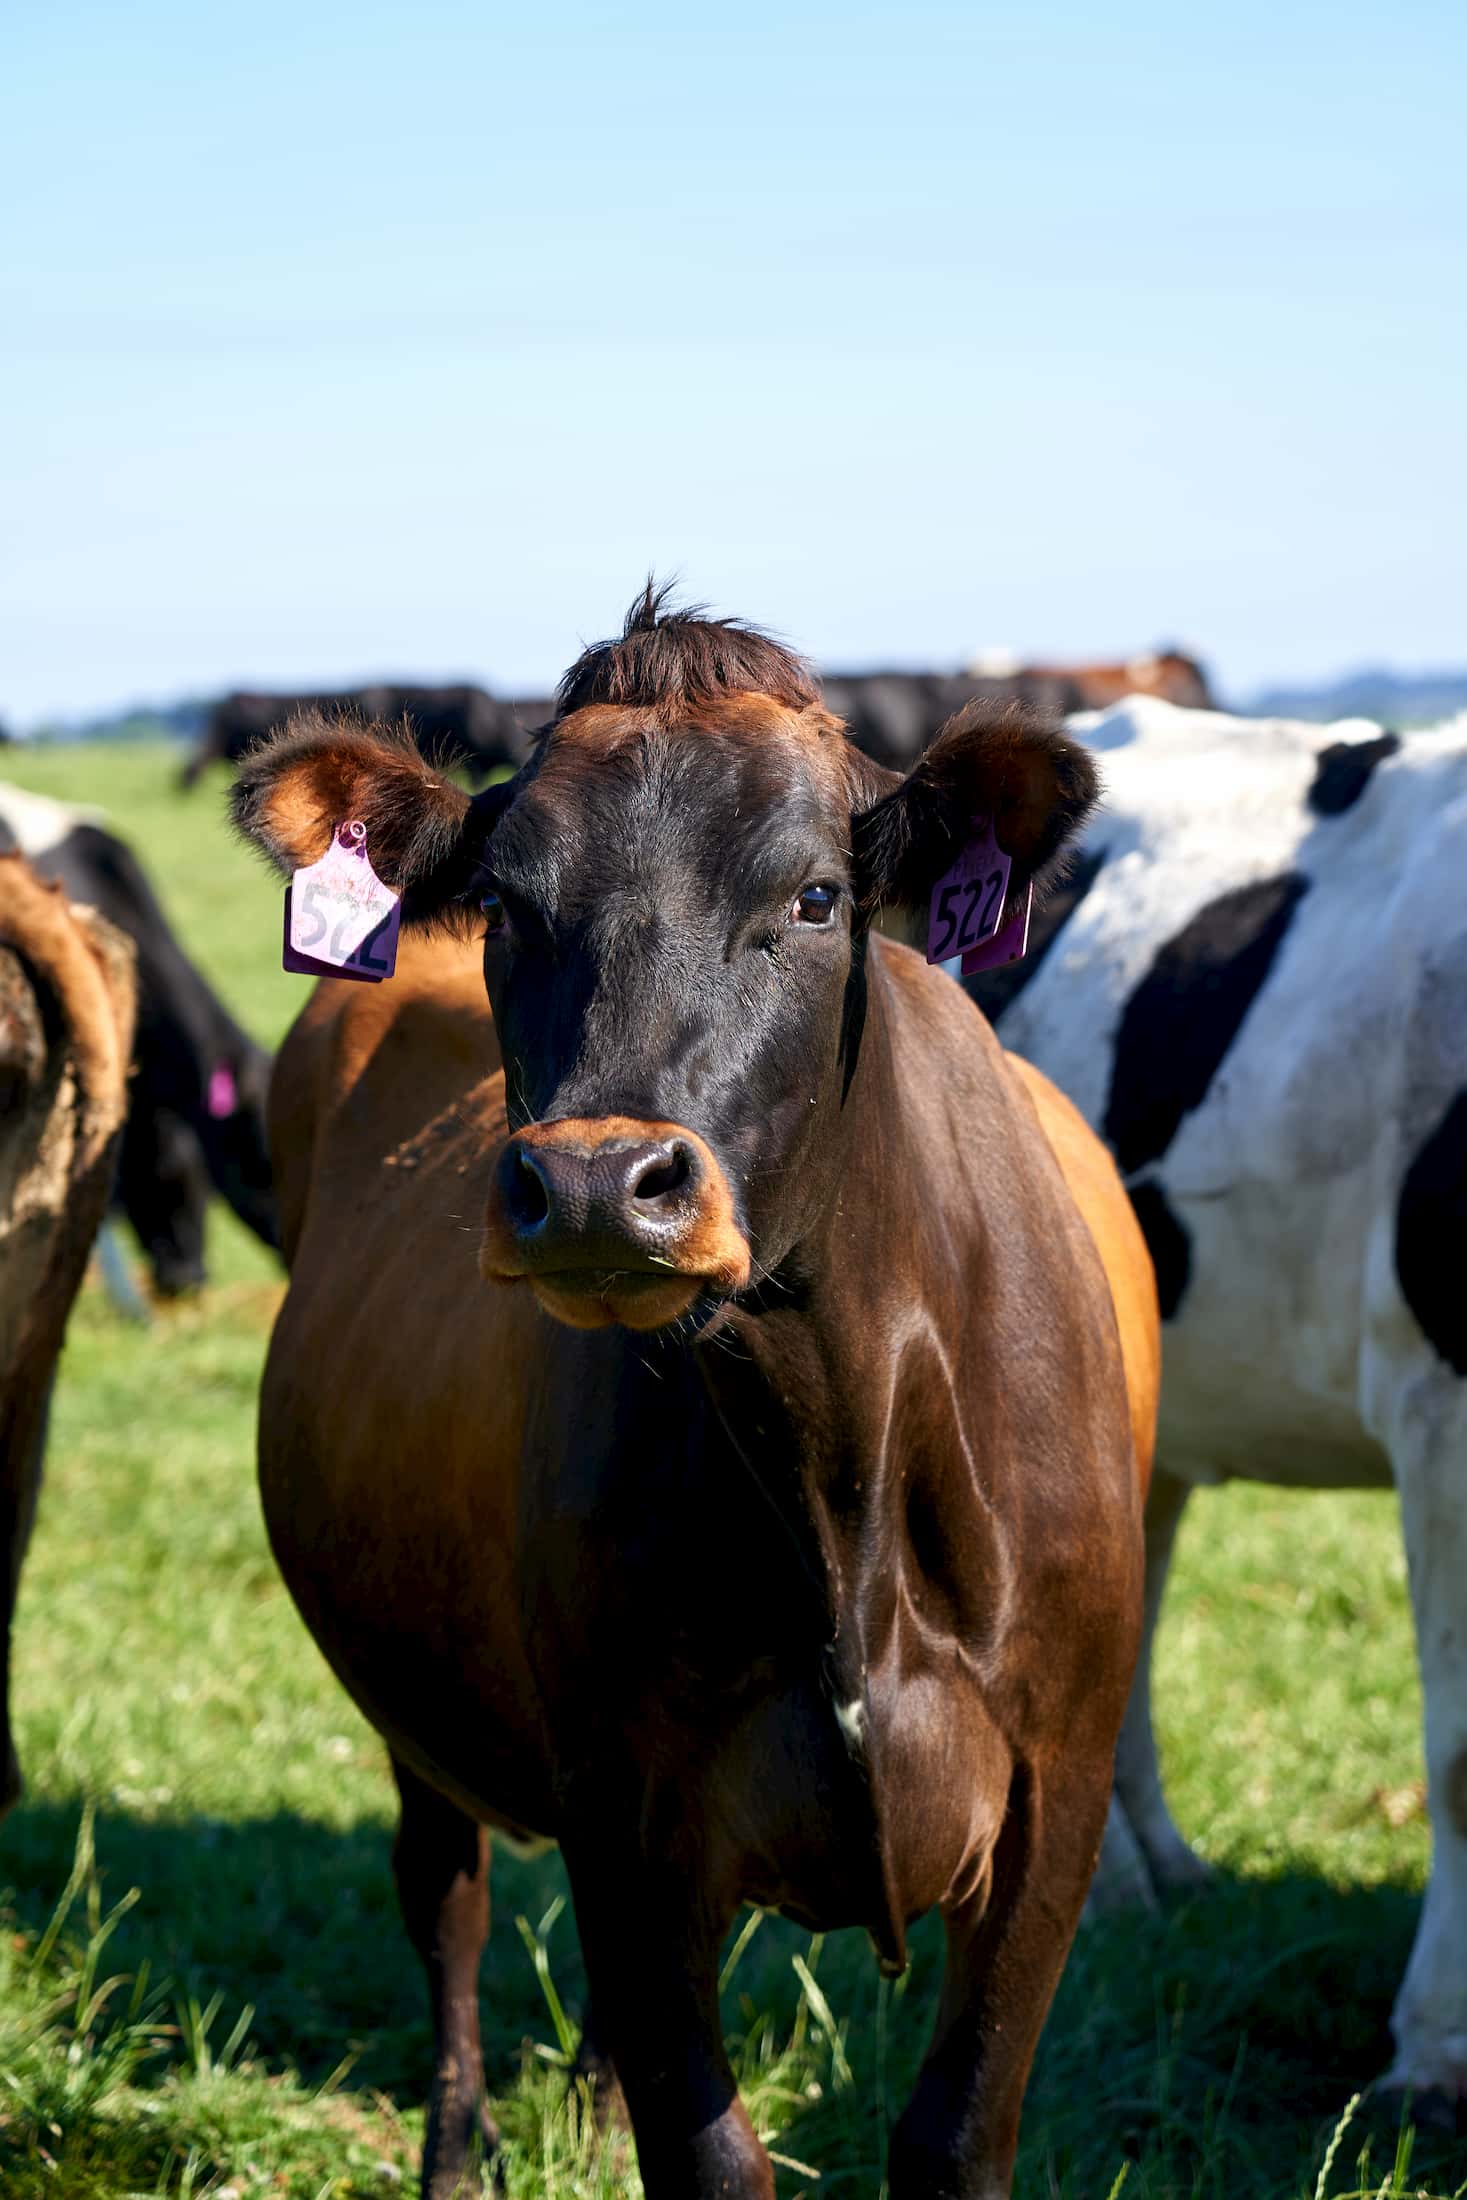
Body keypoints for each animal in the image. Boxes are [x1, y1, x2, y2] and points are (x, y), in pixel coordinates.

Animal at [232, 588, 1157, 2199]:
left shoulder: (1058, 1801)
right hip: (418, 1712)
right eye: (509, 907)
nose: (600, 1184)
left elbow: (952, 2131)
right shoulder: (625, 1807)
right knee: (446, 1902)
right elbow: (706, 2146)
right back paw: (459, 2152)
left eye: (816, 898)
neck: (838, 1463)